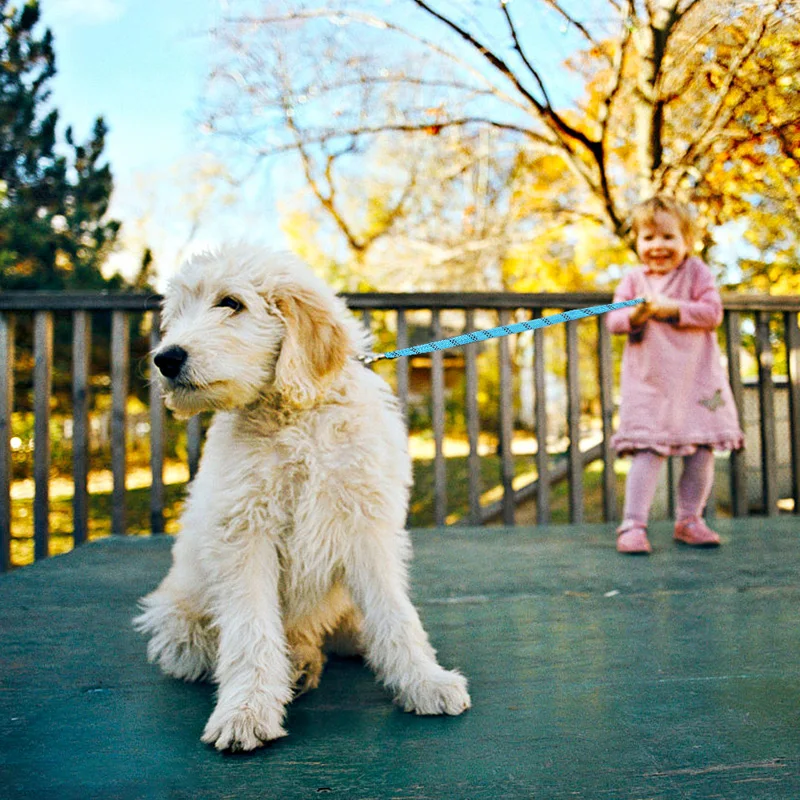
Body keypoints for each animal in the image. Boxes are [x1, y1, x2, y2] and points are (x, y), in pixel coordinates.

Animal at [131, 244, 468, 752]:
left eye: (231, 303)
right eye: (177, 316)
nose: (165, 359)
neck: (295, 416)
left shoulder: (365, 521)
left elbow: (395, 613)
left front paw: (423, 680)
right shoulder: (244, 533)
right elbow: (251, 631)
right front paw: (246, 711)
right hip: (179, 618)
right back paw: (297, 663)